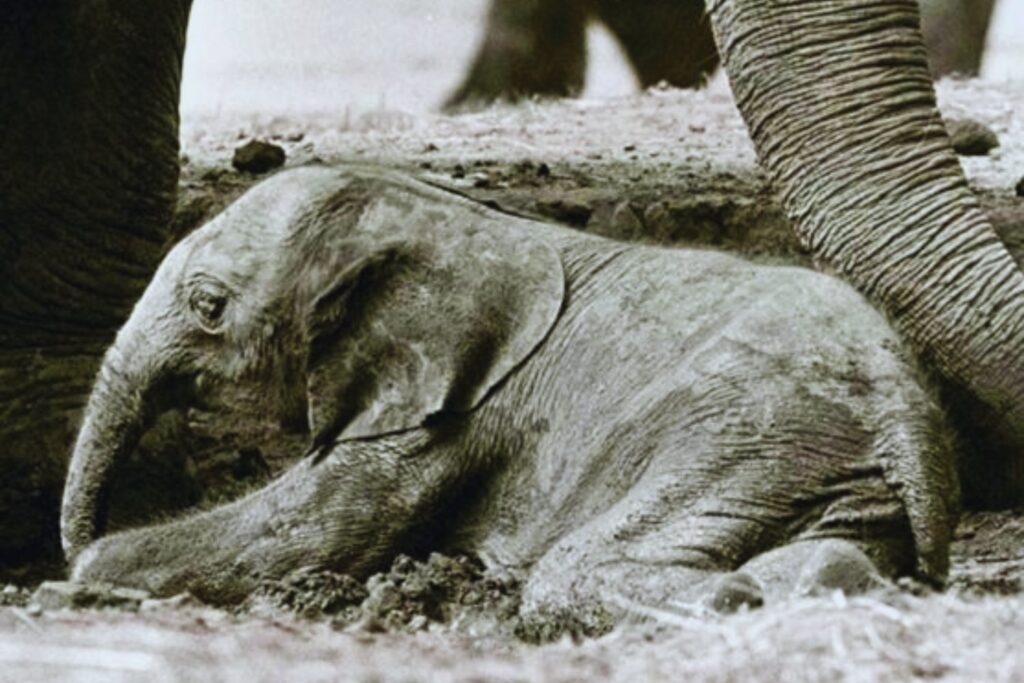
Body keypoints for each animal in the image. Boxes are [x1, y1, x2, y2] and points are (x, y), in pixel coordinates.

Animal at [63, 165, 959, 620]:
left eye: (209, 306)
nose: (78, 534)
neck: (445, 215)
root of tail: (904, 409)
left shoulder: (452, 400)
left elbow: (315, 531)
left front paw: (85, 574)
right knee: (837, 546)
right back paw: (811, 584)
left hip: (745, 429)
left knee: (567, 570)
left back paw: (730, 598)